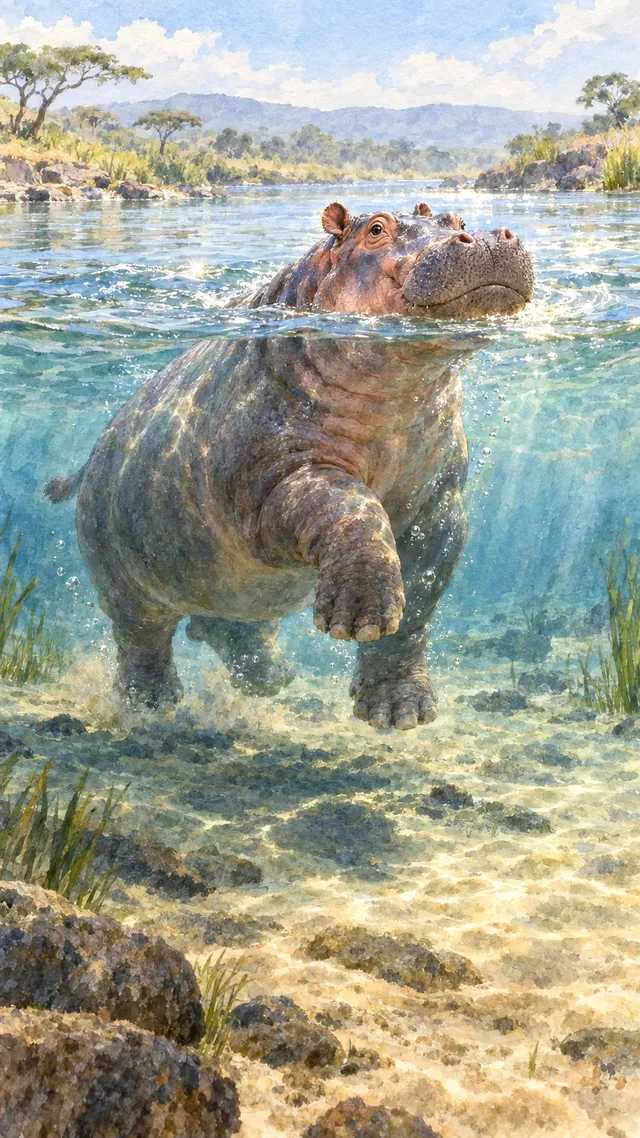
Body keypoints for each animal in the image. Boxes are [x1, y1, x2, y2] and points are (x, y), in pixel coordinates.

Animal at [45, 201, 533, 730]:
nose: (487, 237)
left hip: (233, 583)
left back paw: (269, 678)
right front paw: (358, 617)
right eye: (376, 229)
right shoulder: (277, 481)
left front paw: (400, 713)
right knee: (141, 638)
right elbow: (352, 507)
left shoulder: (440, 503)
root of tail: (90, 456)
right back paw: (149, 706)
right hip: (124, 582)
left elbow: (416, 610)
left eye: (455, 221)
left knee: (234, 625)